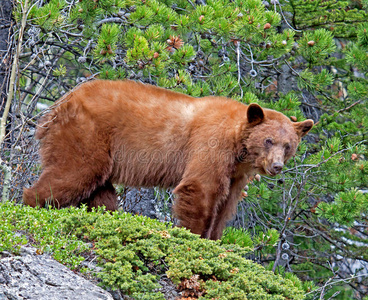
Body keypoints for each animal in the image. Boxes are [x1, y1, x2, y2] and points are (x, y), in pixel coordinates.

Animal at [23, 79, 314, 239]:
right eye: (268, 140)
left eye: (288, 145)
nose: (276, 166)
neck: (237, 145)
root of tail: (59, 103)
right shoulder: (210, 145)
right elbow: (201, 188)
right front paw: (195, 236)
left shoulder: (237, 173)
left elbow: (226, 205)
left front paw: (215, 239)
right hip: (86, 133)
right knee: (73, 173)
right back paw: (31, 203)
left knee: (100, 191)